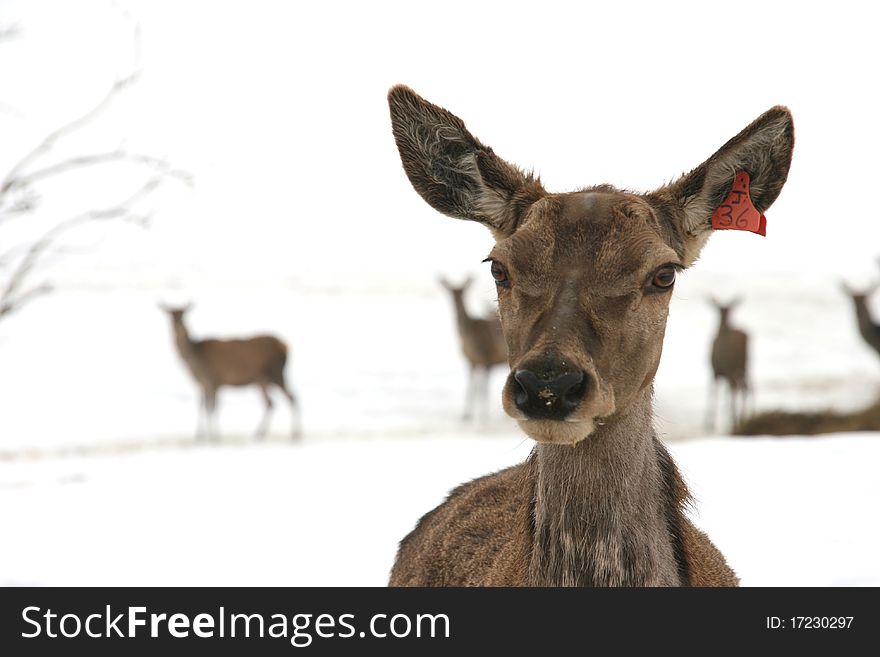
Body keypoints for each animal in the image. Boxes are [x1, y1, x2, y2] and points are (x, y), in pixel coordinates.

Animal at [162, 304, 302, 440]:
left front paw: (214, 436)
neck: (194, 360)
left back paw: (294, 434)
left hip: (276, 373)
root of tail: (285, 346)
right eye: (170, 316)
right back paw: (259, 434)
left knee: (291, 397)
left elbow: (212, 408)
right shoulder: (203, 384)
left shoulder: (213, 381)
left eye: (183, 315)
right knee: (271, 403)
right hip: (262, 380)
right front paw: (200, 436)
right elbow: (202, 407)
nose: (176, 326)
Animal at [440, 276, 508, 420]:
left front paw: (484, 417)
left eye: (462, 291)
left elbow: (483, 390)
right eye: (450, 292)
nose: (455, 301)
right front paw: (466, 415)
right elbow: (471, 387)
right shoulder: (471, 362)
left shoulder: (487, 358)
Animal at [704, 296, 752, 430]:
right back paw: (745, 417)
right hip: (743, 366)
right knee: (747, 386)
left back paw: (739, 419)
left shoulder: (718, 371)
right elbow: (719, 392)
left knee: (741, 387)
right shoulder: (719, 372)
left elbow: (716, 392)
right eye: (720, 310)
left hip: (738, 367)